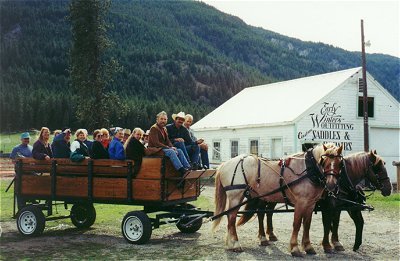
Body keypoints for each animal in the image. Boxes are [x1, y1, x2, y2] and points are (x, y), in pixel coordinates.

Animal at [212, 143, 344, 255]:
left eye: (340, 163)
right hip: (236, 196)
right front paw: (295, 248)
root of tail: (224, 164)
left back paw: (232, 244)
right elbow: (296, 224)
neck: (307, 169)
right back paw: (235, 244)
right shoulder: (301, 203)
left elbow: (307, 224)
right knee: (231, 218)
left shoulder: (310, 204)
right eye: (324, 161)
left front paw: (308, 247)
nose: (331, 185)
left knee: (233, 217)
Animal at [239, 149, 392, 253]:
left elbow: (335, 224)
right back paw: (263, 237)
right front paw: (327, 245)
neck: (340, 180)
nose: (389, 189)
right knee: (261, 213)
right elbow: (327, 224)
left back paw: (271, 235)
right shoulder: (328, 207)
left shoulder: (337, 207)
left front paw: (336, 243)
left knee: (268, 213)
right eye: (378, 168)